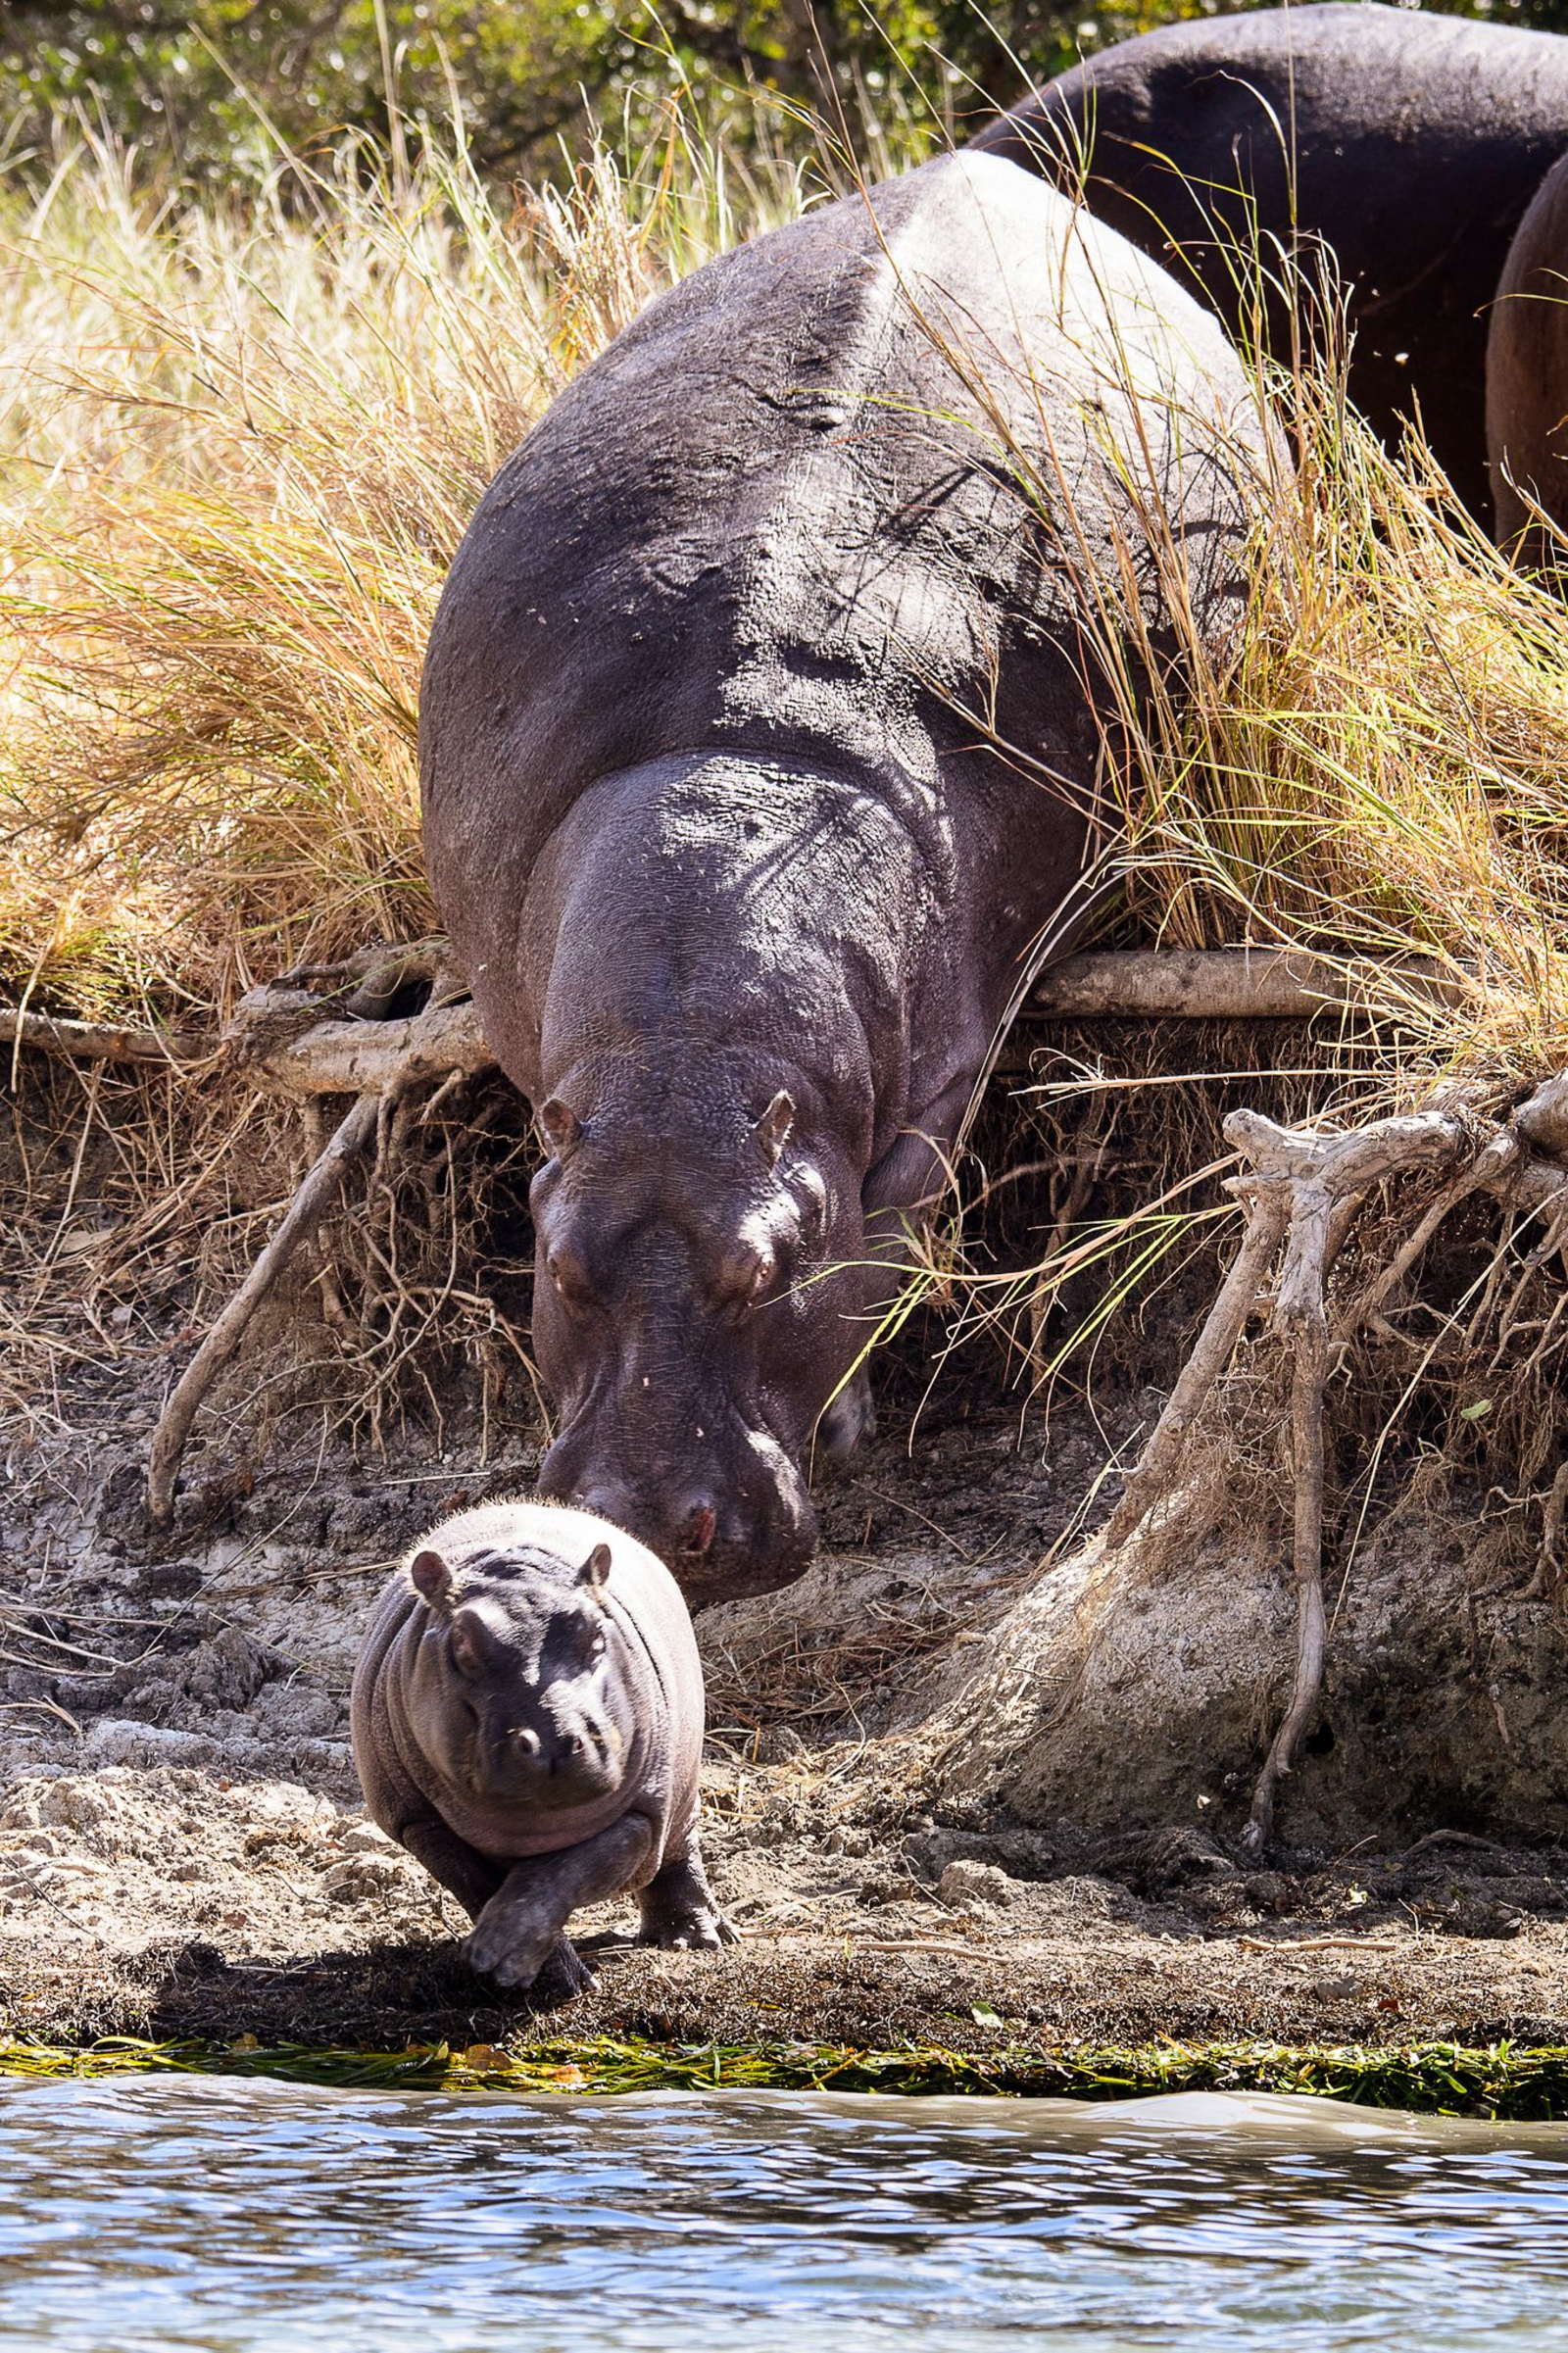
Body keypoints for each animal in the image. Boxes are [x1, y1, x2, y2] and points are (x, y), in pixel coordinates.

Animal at [350, 1499, 731, 1992]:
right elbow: (481, 1884)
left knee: (679, 1858)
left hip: (684, 1789)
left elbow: (565, 1873)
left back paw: (694, 1940)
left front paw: (504, 1955)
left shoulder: (644, 1810)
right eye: (462, 1641)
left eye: (596, 1631)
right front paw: (537, 1975)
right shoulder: (417, 1821)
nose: (552, 1740)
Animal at [419, 150, 1277, 1600]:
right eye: (558, 1261)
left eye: (770, 1266)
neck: (689, 1044)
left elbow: (898, 1232)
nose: (647, 1520)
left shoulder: (940, 1069)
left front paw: (859, 1414)